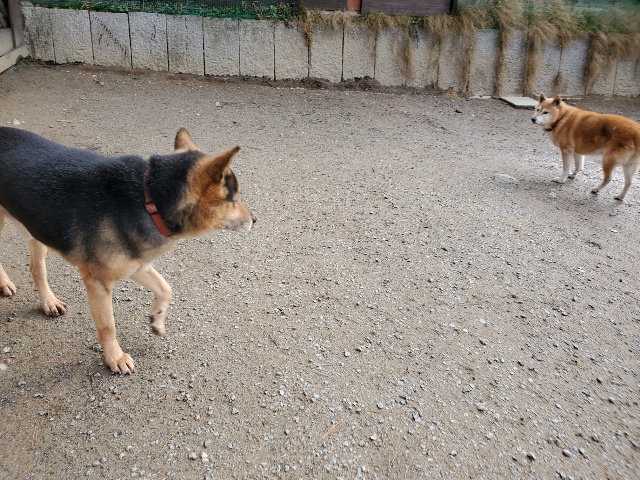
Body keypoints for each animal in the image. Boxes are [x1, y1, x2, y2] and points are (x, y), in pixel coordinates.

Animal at [0, 127, 255, 374]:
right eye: (234, 199)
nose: (255, 219)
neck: (149, 199)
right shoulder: (98, 283)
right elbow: (107, 326)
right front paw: (115, 358)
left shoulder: (137, 264)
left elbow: (166, 289)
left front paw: (157, 320)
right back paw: (4, 284)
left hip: (35, 228)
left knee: (37, 269)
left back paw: (49, 302)